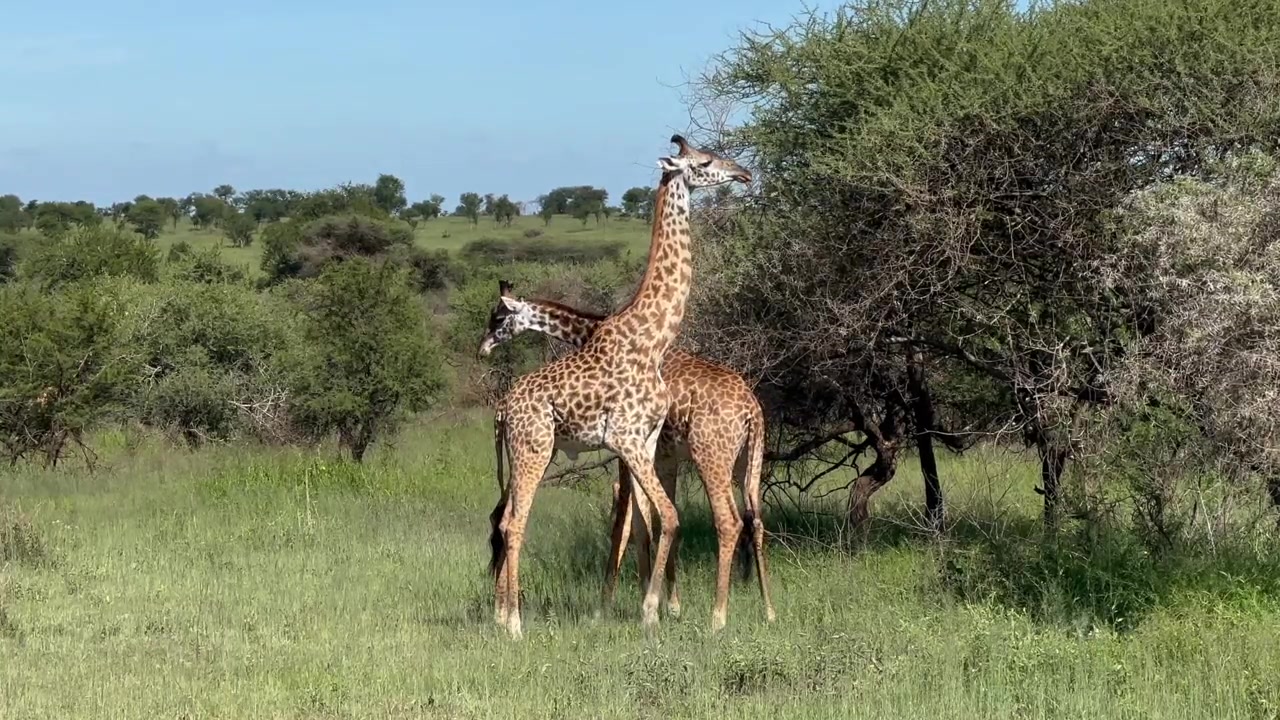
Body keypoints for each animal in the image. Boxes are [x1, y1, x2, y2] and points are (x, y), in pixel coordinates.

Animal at [479, 282, 776, 630]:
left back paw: (718, 616)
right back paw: (768, 610)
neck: (590, 333)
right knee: (756, 520)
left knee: (728, 521)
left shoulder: (626, 455)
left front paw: (609, 608)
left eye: (498, 318)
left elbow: (626, 526)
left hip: (711, 455)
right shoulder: (663, 457)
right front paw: (669, 605)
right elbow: (653, 522)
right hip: (749, 462)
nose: (483, 348)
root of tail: (752, 411)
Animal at [488, 135, 751, 638]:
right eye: (705, 161)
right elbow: (659, 518)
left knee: (506, 518)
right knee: (512, 522)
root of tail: (503, 409)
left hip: (537, 450)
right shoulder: (625, 439)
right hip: (534, 447)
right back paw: (512, 624)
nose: (743, 174)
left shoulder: (644, 440)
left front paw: (652, 607)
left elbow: (651, 520)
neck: (650, 339)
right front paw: (644, 611)